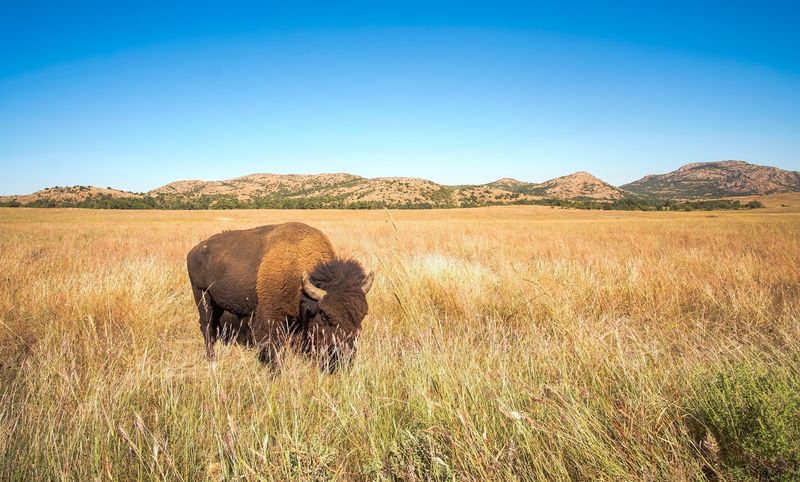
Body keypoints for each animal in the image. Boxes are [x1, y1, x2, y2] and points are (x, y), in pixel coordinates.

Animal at [187, 222, 374, 371]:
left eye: (362, 315)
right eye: (324, 315)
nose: (345, 356)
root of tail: (194, 250)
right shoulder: (270, 317)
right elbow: (273, 345)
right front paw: (276, 370)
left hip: (216, 303)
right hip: (202, 295)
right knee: (206, 325)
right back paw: (212, 360)